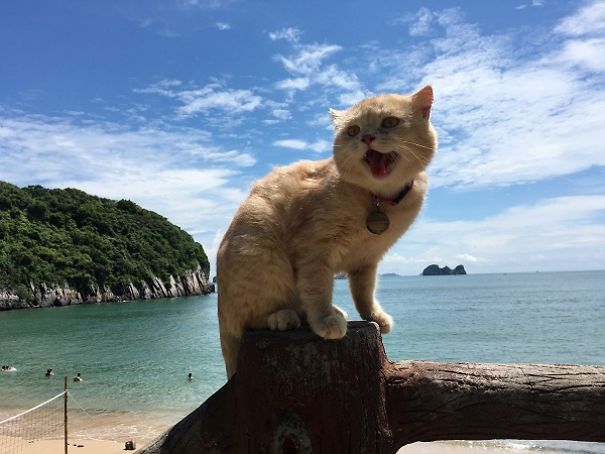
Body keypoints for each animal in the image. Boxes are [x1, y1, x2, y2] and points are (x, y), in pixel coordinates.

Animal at [219, 86, 436, 380]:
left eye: (389, 122)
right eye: (353, 130)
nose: (367, 137)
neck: (377, 199)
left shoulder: (367, 261)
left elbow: (364, 294)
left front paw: (374, 317)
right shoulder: (314, 250)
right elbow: (317, 289)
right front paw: (324, 320)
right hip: (262, 254)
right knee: (249, 320)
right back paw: (284, 317)